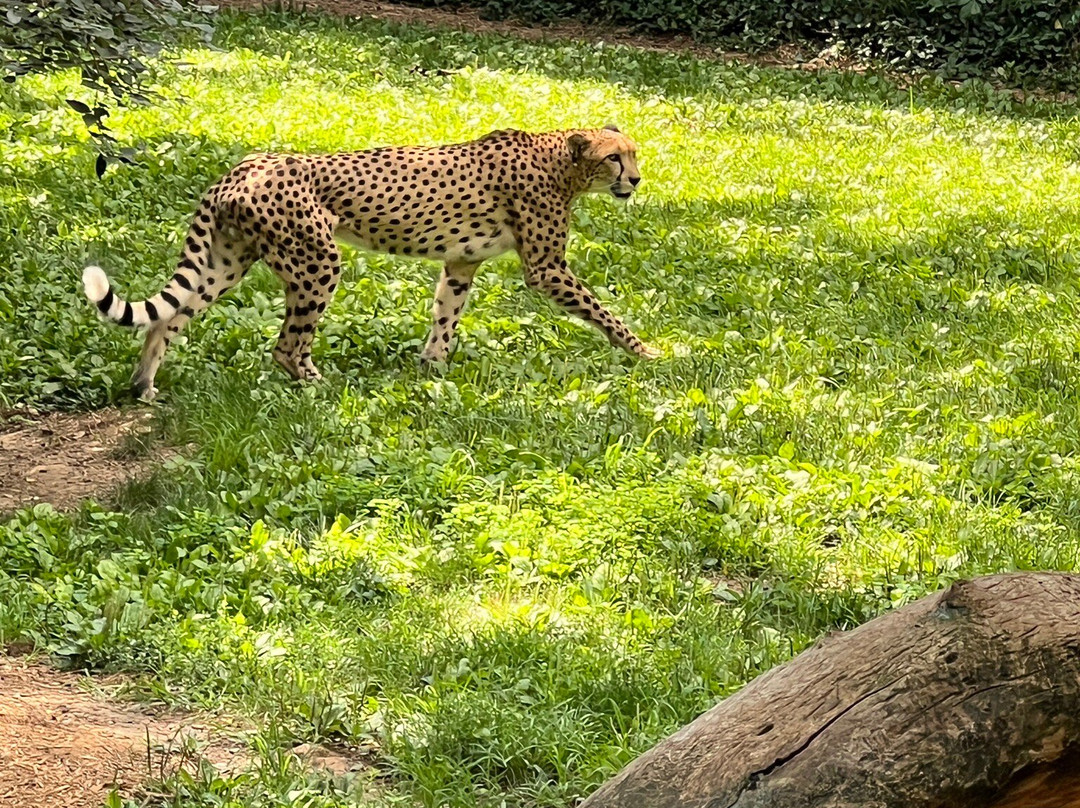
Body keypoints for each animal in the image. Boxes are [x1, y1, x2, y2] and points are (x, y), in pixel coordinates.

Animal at [82, 124, 656, 399]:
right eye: (614, 158)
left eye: (634, 153)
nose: (635, 179)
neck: (561, 160)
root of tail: (244, 165)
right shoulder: (546, 268)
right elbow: (602, 311)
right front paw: (647, 352)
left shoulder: (460, 263)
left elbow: (446, 316)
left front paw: (433, 369)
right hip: (318, 261)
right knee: (286, 346)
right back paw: (319, 387)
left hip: (226, 264)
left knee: (168, 319)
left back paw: (144, 387)